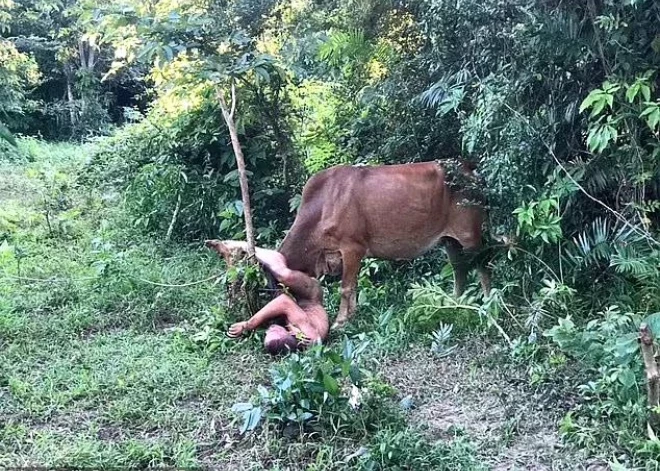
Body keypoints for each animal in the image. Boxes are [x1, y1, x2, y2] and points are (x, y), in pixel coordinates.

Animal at [278, 161, 490, 328]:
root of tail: (471, 171)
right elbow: (353, 287)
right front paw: (351, 316)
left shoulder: (352, 248)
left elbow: (346, 288)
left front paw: (340, 321)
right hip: (449, 240)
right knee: (459, 269)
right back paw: (455, 302)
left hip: (470, 235)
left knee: (482, 265)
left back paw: (489, 301)